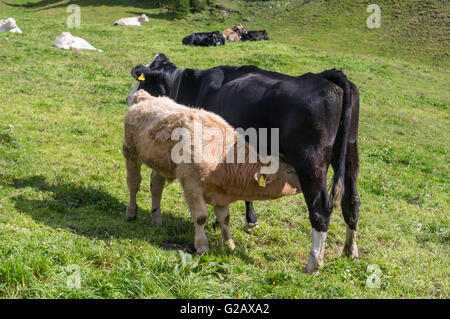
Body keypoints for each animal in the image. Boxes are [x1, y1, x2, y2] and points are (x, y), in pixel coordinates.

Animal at [122, 90, 302, 255]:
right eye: (290, 171)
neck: (223, 159)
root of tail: (145, 97)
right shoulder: (191, 185)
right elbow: (200, 217)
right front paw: (202, 246)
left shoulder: (221, 193)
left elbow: (224, 218)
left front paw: (229, 244)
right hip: (130, 152)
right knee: (134, 184)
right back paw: (131, 213)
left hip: (160, 163)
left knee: (156, 186)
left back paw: (156, 218)